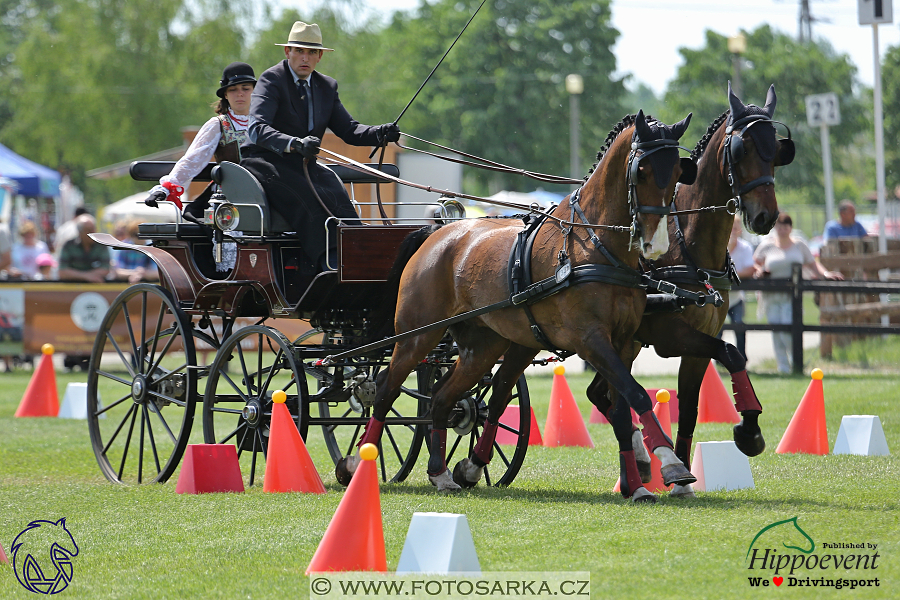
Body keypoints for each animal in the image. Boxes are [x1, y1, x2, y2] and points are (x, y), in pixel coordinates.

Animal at [338, 111, 696, 502]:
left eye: (677, 173)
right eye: (641, 171)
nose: (655, 243)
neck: (593, 246)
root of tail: (436, 233)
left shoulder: (621, 342)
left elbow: (621, 411)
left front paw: (638, 483)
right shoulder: (591, 340)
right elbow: (637, 396)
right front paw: (671, 465)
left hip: (482, 345)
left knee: (442, 397)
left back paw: (441, 473)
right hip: (418, 336)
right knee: (386, 388)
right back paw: (357, 462)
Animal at [592, 83, 796, 496]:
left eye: (776, 151)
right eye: (742, 149)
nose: (765, 217)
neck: (687, 246)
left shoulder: (701, 339)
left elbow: (689, 406)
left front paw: (685, 471)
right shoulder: (672, 335)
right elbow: (733, 353)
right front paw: (747, 431)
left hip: (626, 342)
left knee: (602, 394)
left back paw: (642, 463)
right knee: (609, 396)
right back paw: (639, 468)